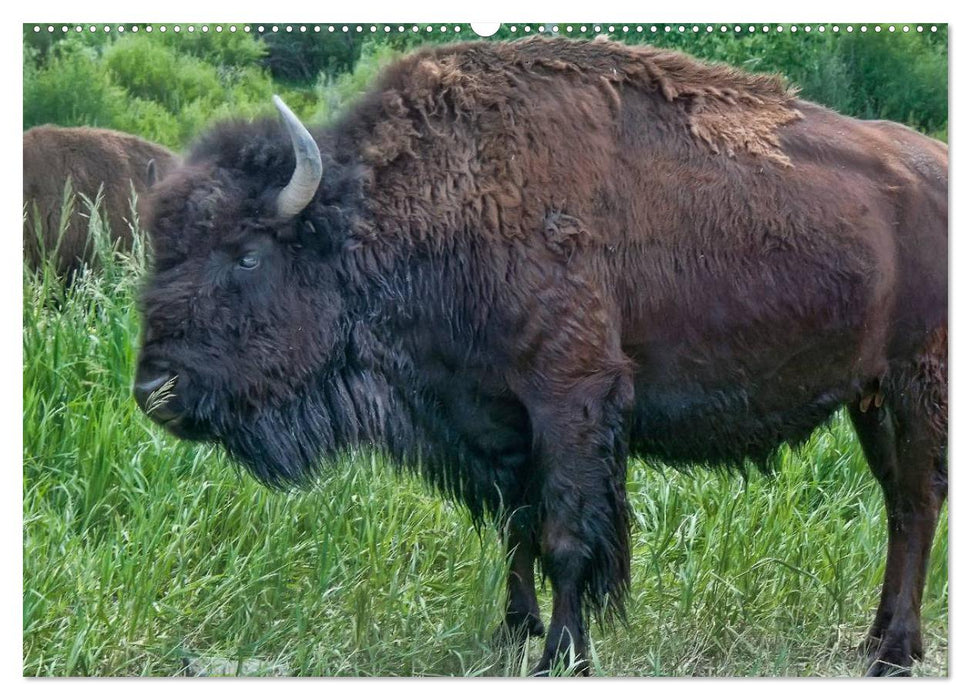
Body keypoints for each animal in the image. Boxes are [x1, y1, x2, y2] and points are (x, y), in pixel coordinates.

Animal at [133, 35, 944, 676]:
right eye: (164, 248)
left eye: (245, 255)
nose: (154, 391)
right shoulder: (497, 417)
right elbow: (516, 526)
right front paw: (511, 633)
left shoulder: (570, 399)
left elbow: (564, 536)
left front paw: (562, 655)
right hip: (868, 397)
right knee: (898, 505)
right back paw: (874, 640)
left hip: (918, 384)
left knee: (918, 498)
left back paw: (894, 652)